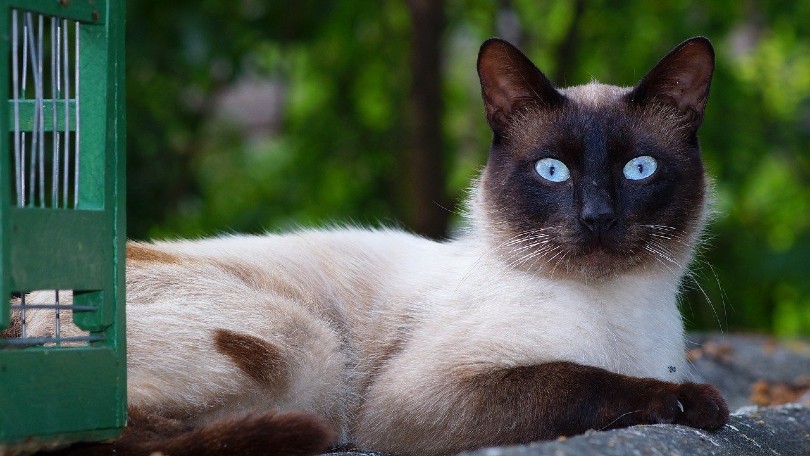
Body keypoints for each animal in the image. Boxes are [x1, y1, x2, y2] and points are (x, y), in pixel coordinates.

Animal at [17, 36, 724, 456]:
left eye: (639, 170)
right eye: (553, 171)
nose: (598, 216)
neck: (617, 316)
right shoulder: (414, 404)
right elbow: (578, 381)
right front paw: (698, 403)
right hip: (307, 348)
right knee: (97, 438)